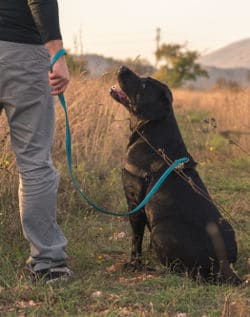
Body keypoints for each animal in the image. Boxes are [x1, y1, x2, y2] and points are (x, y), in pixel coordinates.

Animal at [110, 65, 242, 282]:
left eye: (144, 84)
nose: (122, 67)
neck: (150, 133)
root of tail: (222, 266)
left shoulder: (134, 202)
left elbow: (136, 239)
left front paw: (133, 264)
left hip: (160, 231)